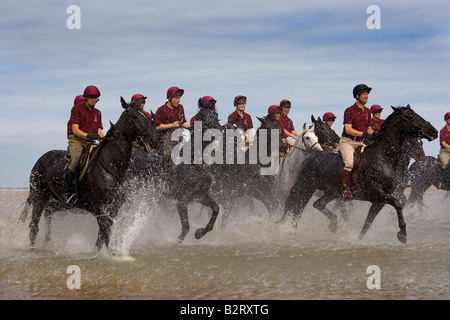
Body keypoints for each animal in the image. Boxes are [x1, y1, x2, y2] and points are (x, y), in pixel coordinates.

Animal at [19, 97, 160, 250]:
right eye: (134, 117)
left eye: (146, 116)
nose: (154, 140)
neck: (110, 167)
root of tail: (42, 159)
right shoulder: (101, 211)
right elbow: (106, 238)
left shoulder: (112, 210)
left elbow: (100, 240)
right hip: (39, 196)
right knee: (34, 226)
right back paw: (33, 249)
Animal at [280, 105, 438, 242]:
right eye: (411, 116)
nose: (434, 132)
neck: (382, 158)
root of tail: (311, 156)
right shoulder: (377, 193)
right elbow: (398, 204)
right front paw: (402, 234)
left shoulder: (380, 199)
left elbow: (369, 221)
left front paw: (359, 239)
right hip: (306, 187)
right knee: (297, 206)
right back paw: (290, 228)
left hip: (332, 192)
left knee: (317, 204)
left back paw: (333, 224)